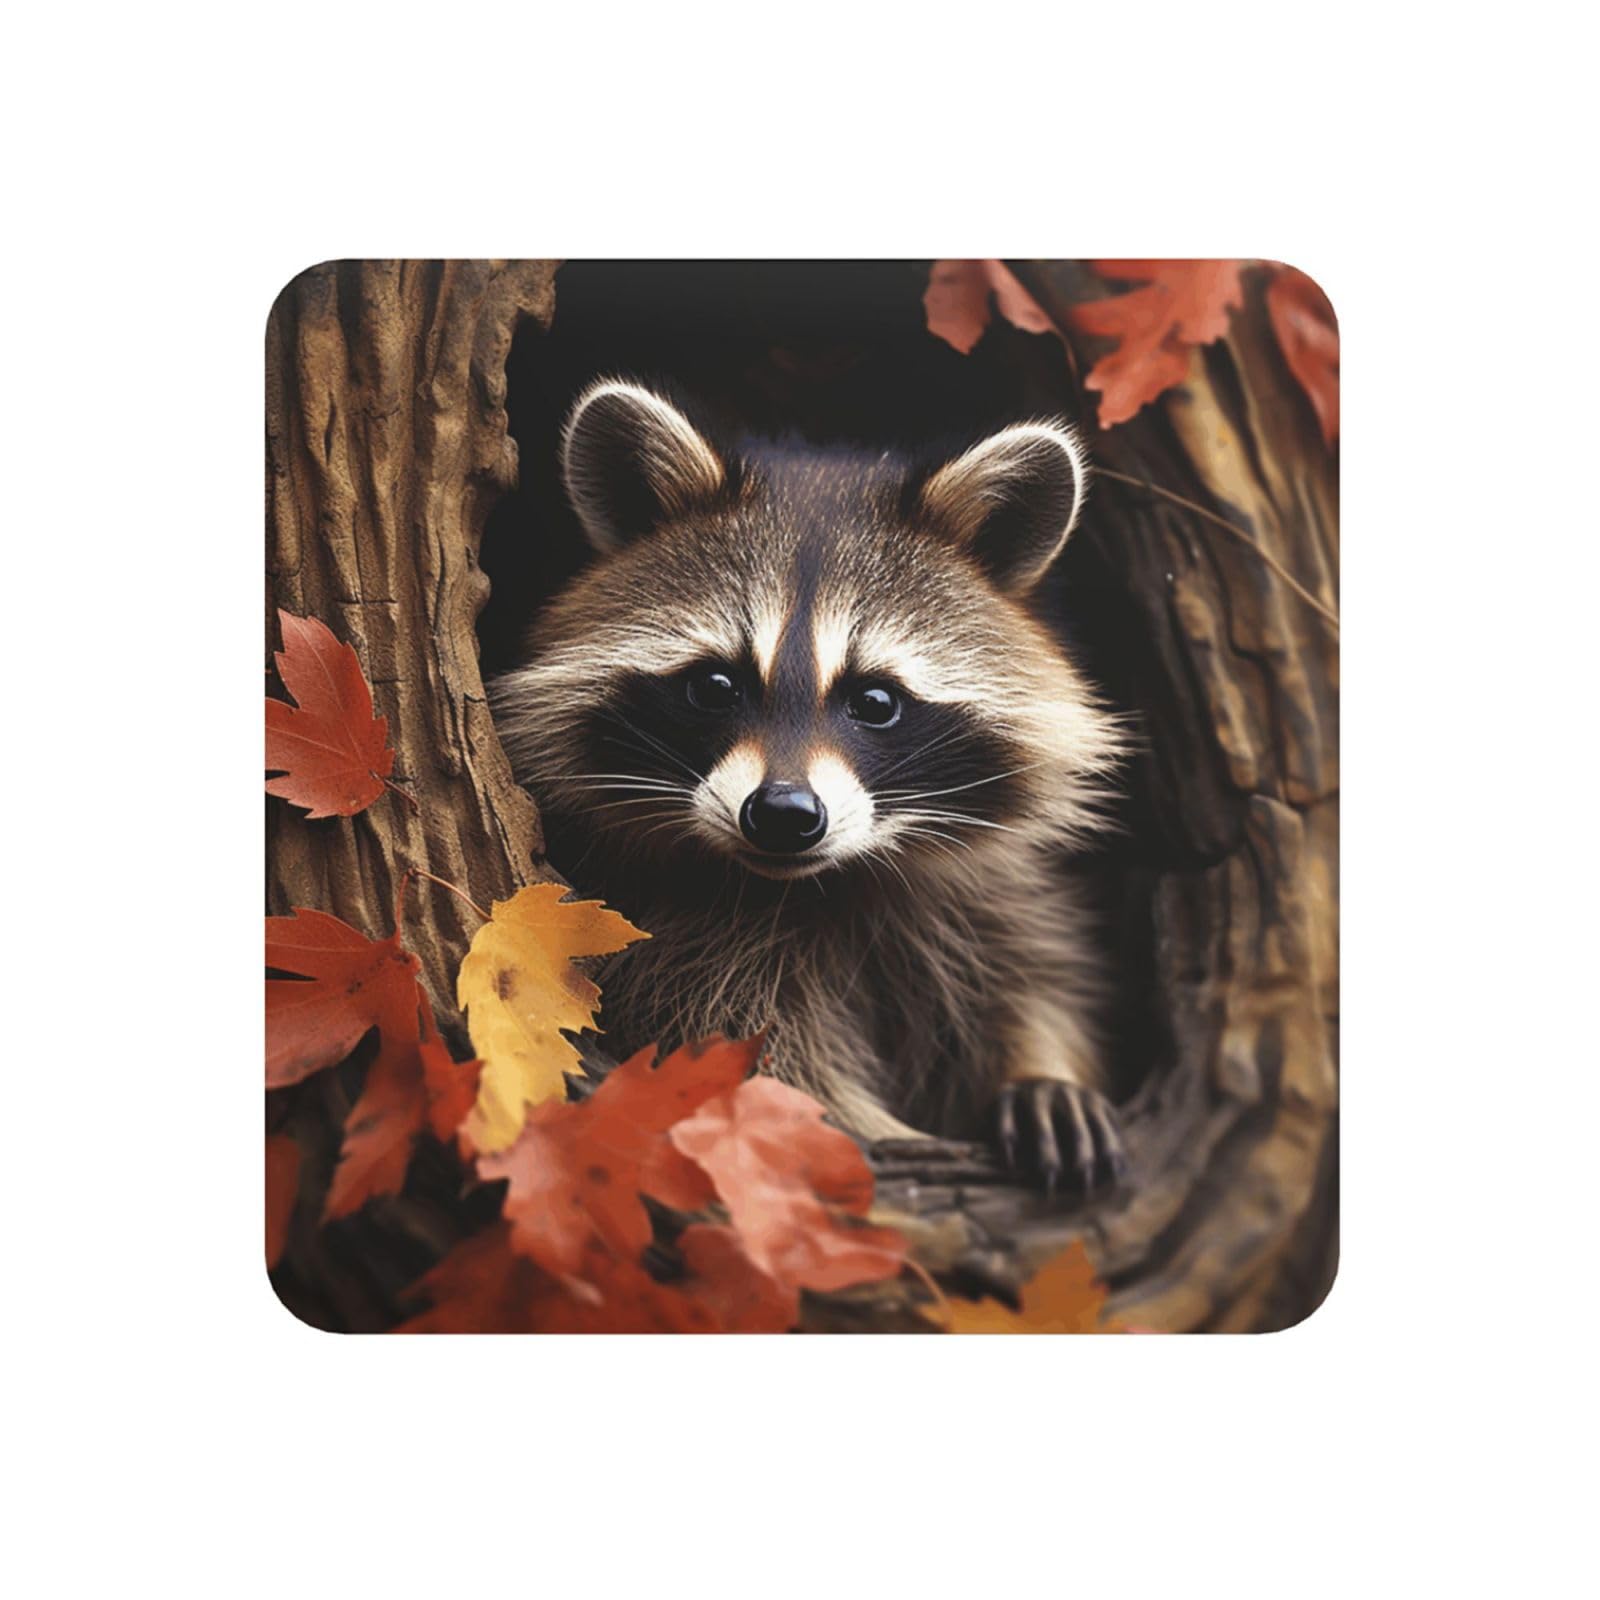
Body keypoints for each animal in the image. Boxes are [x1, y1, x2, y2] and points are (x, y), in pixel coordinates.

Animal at [490, 379, 1128, 1190]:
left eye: (876, 701)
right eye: (715, 686)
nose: (784, 814)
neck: (819, 885)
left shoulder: (984, 895)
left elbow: (1032, 972)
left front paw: (1043, 1069)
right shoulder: (674, 938)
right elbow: (759, 1060)